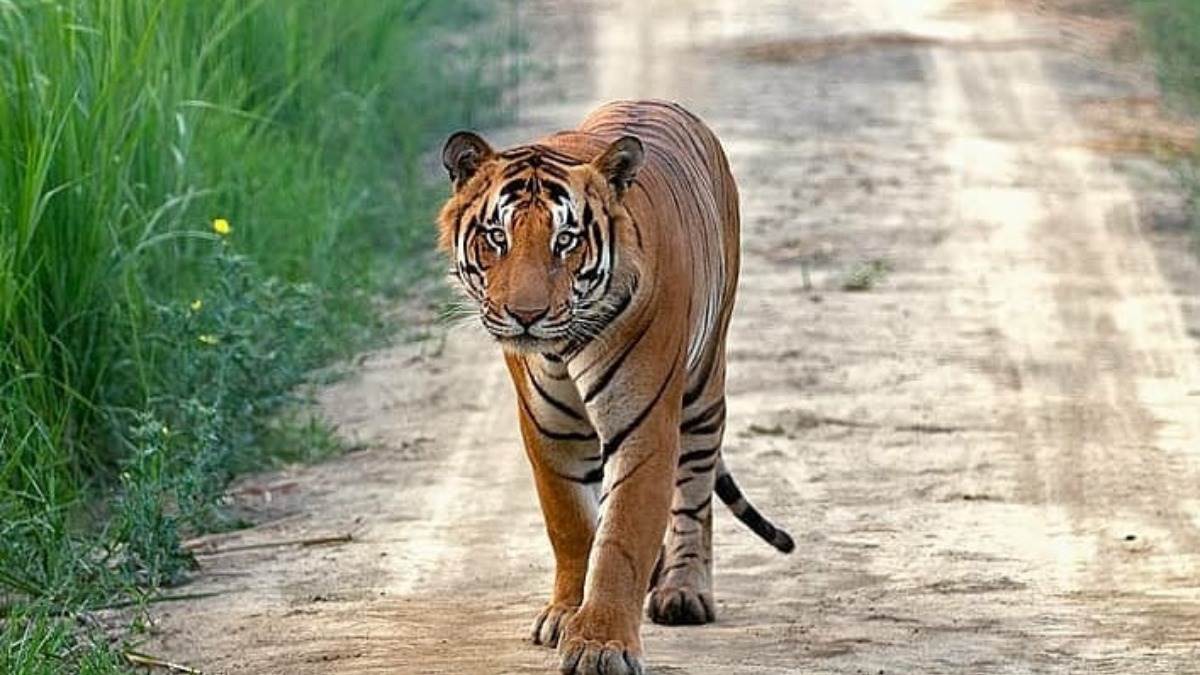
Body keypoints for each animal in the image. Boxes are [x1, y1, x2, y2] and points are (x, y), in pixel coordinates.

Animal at [437, 100, 793, 675]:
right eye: (497, 237)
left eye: (565, 241)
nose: (526, 316)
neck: (562, 347)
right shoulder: (549, 430)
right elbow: (572, 527)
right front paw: (566, 614)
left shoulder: (644, 423)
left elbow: (622, 536)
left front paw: (601, 643)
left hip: (703, 387)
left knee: (694, 495)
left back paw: (683, 591)